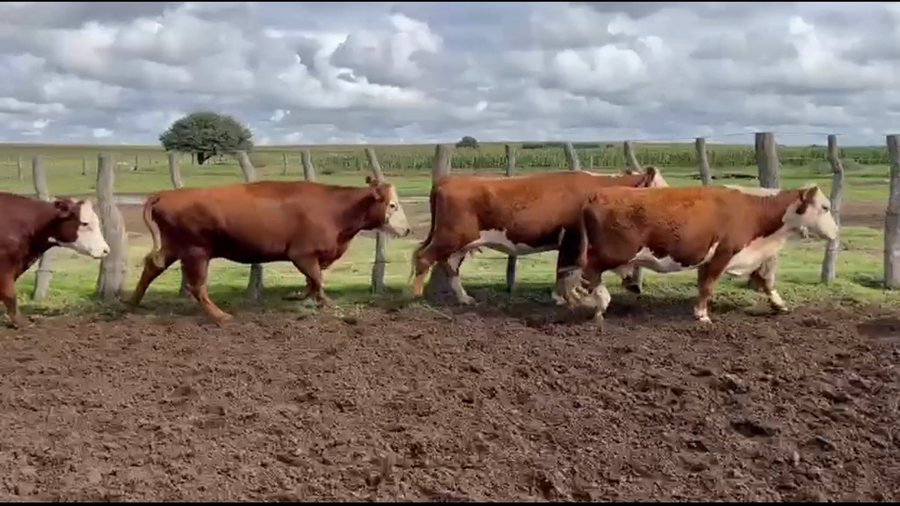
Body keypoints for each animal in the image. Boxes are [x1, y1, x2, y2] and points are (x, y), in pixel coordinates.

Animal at [128, 177, 411, 324]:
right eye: (393, 205)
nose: (408, 230)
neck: (336, 209)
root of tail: (166, 194)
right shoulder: (302, 254)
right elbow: (317, 280)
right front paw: (326, 304)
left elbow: (312, 281)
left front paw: (297, 297)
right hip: (196, 251)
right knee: (197, 286)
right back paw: (221, 315)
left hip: (174, 247)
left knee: (152, 265)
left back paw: (133, 303)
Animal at [409, 166, 669, 305]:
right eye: (659, 188)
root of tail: (448, 180)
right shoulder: (572, 239)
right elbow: (565, 270)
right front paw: (563, 297)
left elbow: (566, 271)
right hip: (449, 237)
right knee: (424, 257)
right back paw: (416, 297)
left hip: (460, 243)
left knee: (450, 266)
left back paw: (465, 299)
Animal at [555, 183, 838, 325]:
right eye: (825, 207)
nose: (836, 232)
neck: (752, 210)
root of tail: (597, 195)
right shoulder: (723, 254)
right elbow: (708, 287)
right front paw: (702, 315)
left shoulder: (717, 257)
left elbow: (763, 282)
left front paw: (779, 304)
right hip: (611, 253)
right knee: (588, 271)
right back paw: (600, 302)